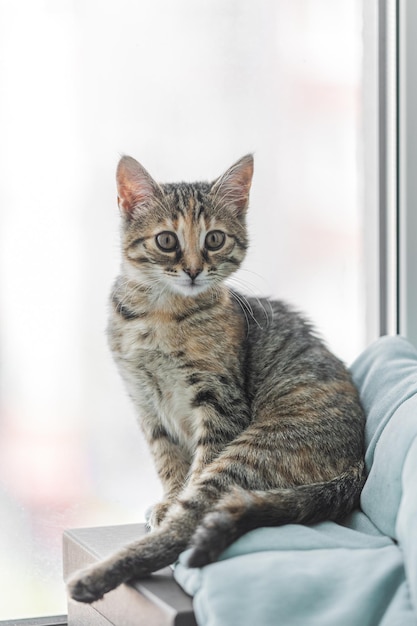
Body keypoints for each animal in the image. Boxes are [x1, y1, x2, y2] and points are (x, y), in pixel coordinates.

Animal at [68, 151, 364, 600]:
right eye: (166, 240)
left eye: (214, 240)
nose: (193, 270)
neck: (160, 315)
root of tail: (357, 464)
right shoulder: (145, 403)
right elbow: (168, 461)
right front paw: (167, 498)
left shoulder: (220, 404)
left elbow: (193, 475)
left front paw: (171, 506)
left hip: (251, 451)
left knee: (190, 523)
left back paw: (94, 577)